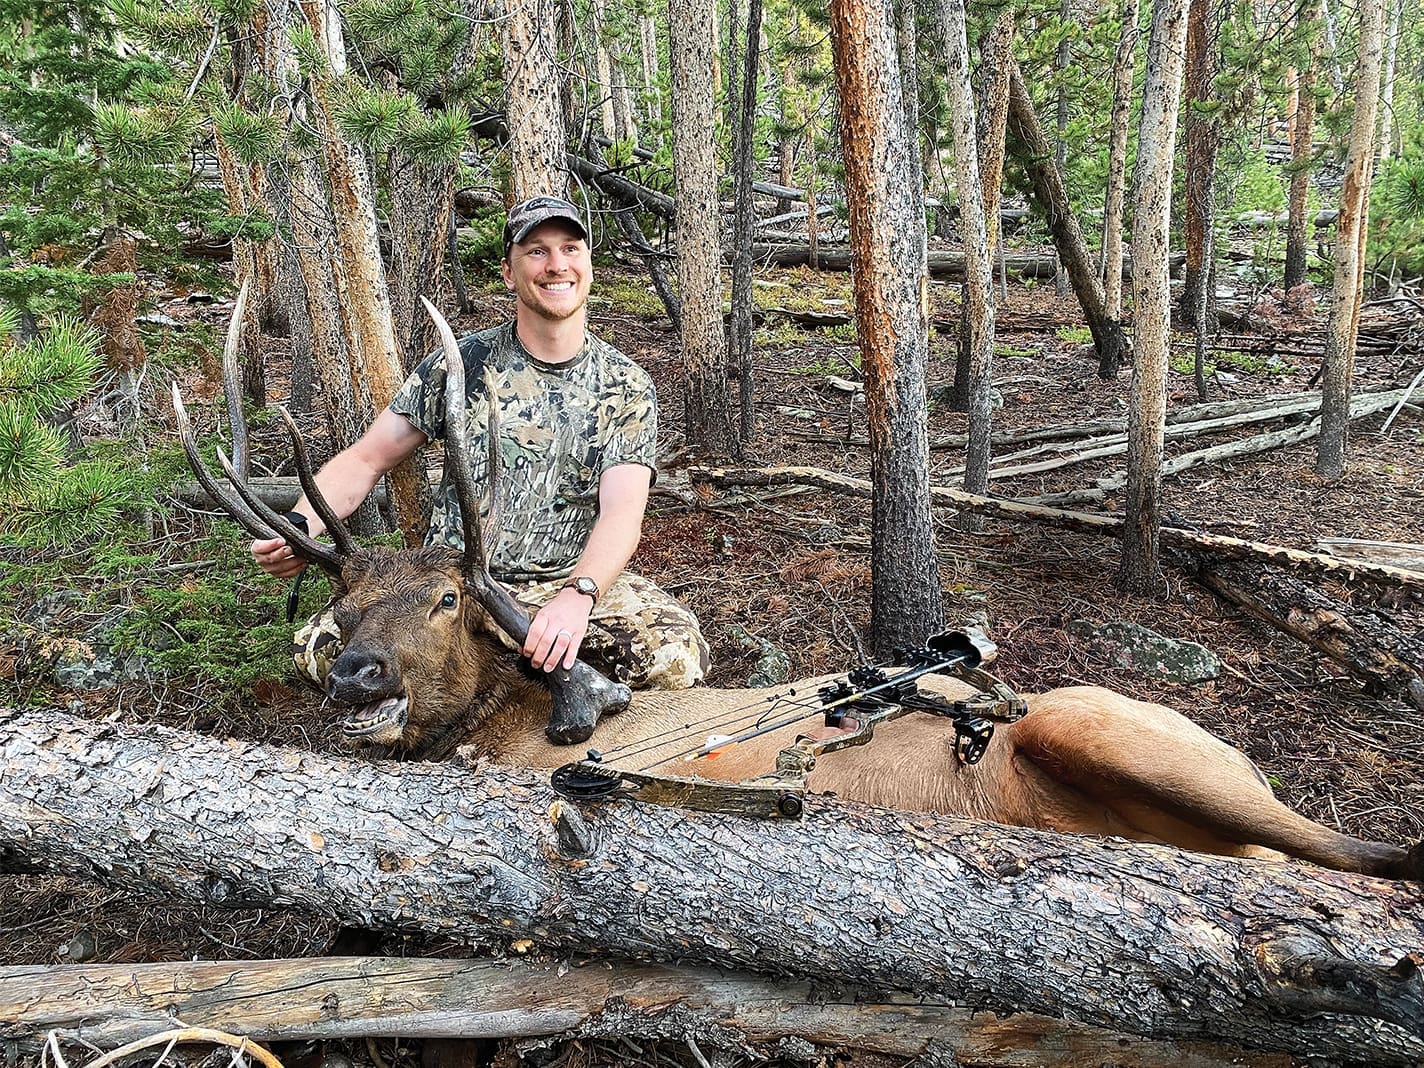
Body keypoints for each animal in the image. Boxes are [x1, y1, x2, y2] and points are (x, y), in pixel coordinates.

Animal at [173, 292, 1424, 882]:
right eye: (340, 605)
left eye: (446, 601)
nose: (356, 676)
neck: (509, 721)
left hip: (1108, 728)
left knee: (1350, 851)